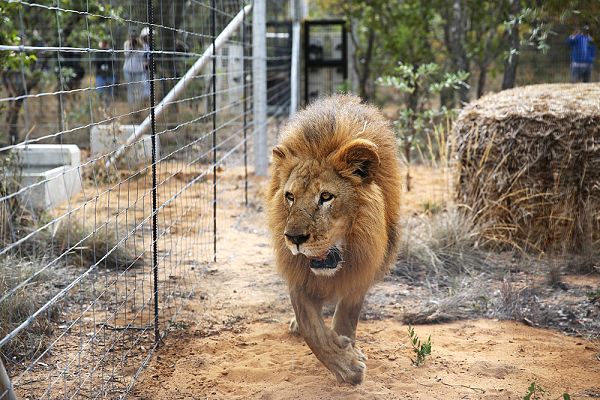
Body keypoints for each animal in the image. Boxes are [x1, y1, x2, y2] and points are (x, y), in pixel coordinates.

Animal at [266, 94, 398, 384]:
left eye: (326, 197)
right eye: (290, 196)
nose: (293, 238)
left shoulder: (361, 271)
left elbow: (347, 316)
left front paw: (349, 352)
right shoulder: (298, 275)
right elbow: (312, 330)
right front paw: (347, 366)